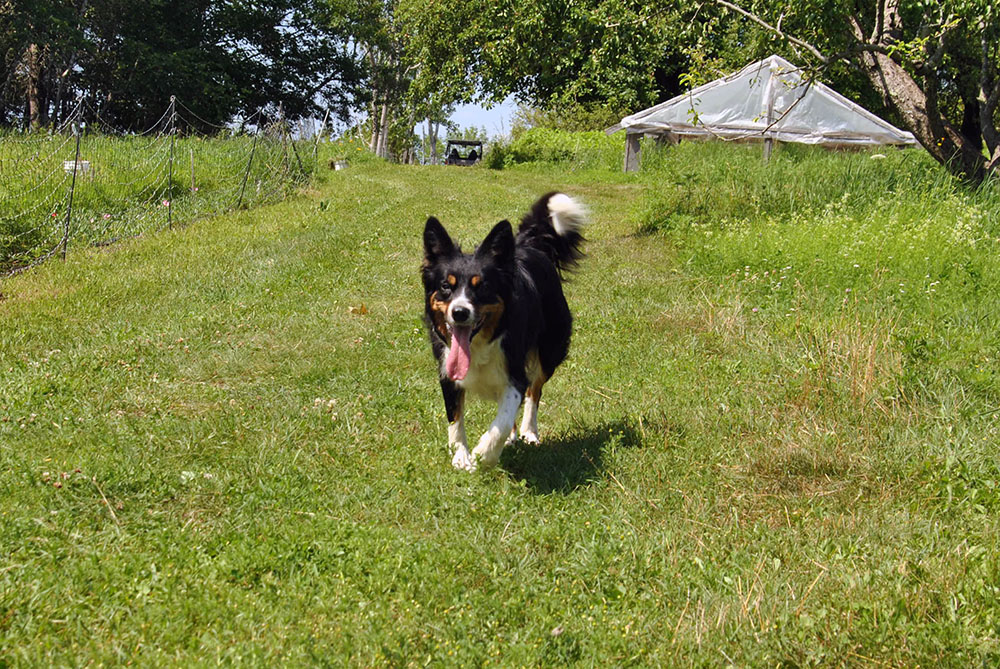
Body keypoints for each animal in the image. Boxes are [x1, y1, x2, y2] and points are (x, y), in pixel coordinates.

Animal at [420, 190, 584, 468]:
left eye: (482, 286)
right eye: (445, 286)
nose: (460, 312)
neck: (478, 346)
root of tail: (530, 245)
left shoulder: (515, 372)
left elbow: (505, 416)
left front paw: (485, 453)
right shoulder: (447, 370)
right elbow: (455, 416)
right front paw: (461, 456)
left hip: (550, 350)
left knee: (534, 392)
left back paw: (529, 432)